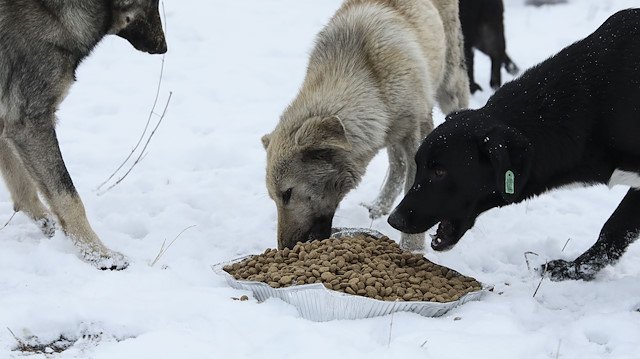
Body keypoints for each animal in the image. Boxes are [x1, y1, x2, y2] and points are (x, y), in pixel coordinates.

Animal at [0, 0, 168, 270]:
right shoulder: (29, 124)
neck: (56, 12)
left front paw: (54, 232)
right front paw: (100, 255)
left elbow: (25, 191)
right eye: (155, 3)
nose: (163, 48)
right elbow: (69, 198)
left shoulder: (8, 123)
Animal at [388, 9, 640, 282]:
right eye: (419, 165)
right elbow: (614, 230)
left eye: (440, 171)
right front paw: (575, 270)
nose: (394, 220)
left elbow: (614, 228)